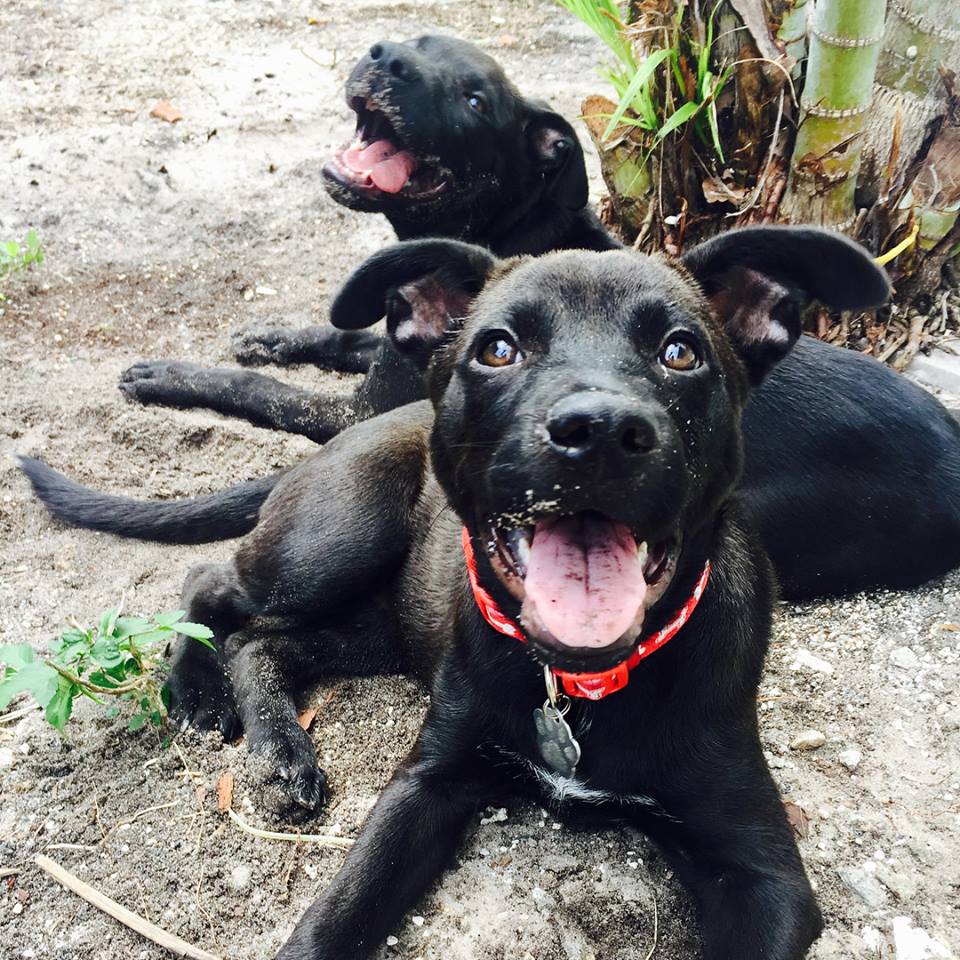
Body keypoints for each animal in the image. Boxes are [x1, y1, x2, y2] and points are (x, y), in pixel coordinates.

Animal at [169, 229, 888, 956]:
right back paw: (201, 696)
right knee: (209, 584)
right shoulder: (427, 782)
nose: (600, 431)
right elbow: (340, 912)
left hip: (383, 621)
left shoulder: (765, 875)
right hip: (340, 536)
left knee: (264, 640)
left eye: (680, 351)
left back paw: (279, 752)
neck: (581, 687)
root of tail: (357, 427)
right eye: (498, 348)